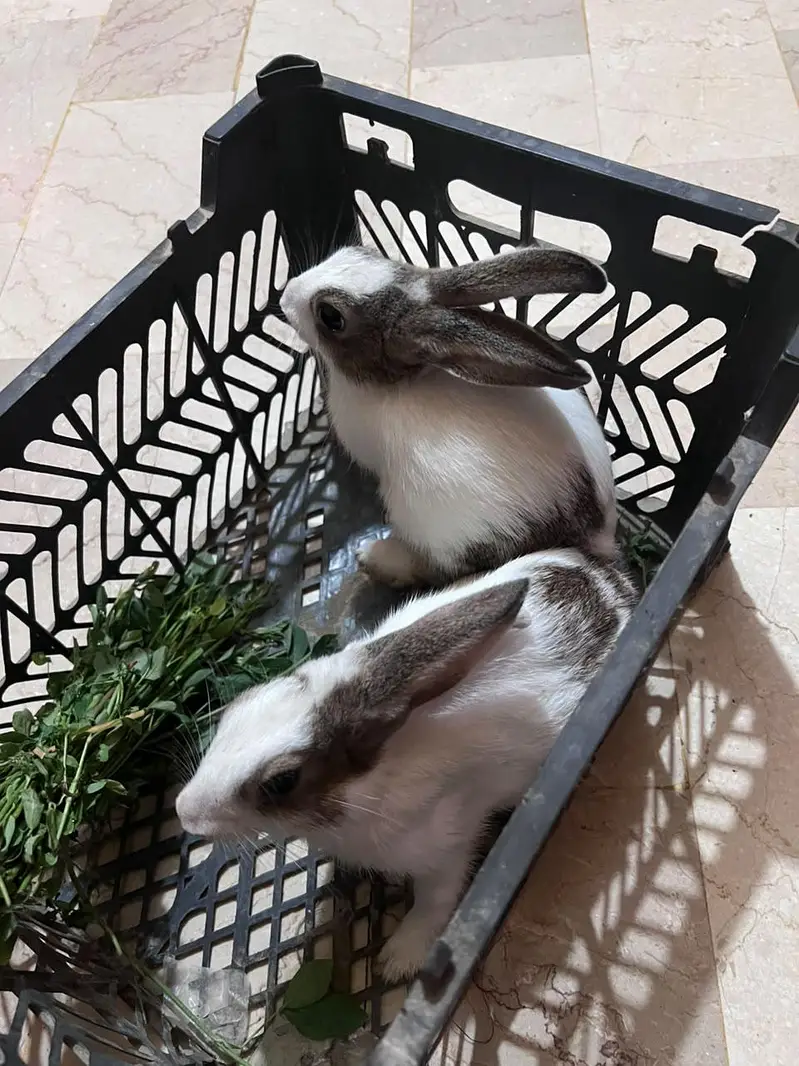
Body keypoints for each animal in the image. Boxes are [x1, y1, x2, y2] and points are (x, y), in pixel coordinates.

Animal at [176, 548, 636, 982]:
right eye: (237, 707)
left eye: (282, 781)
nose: (184, 813)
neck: (373, 777)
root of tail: (613, 579)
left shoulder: (449, 844)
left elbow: (435, 900)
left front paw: (397, 961)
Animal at [279, 244, 616, 588]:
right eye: (360, 250)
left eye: (331, 317)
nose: (285, 294)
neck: (399, 381)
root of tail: (594, 536)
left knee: (433, 568)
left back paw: (374, 557)